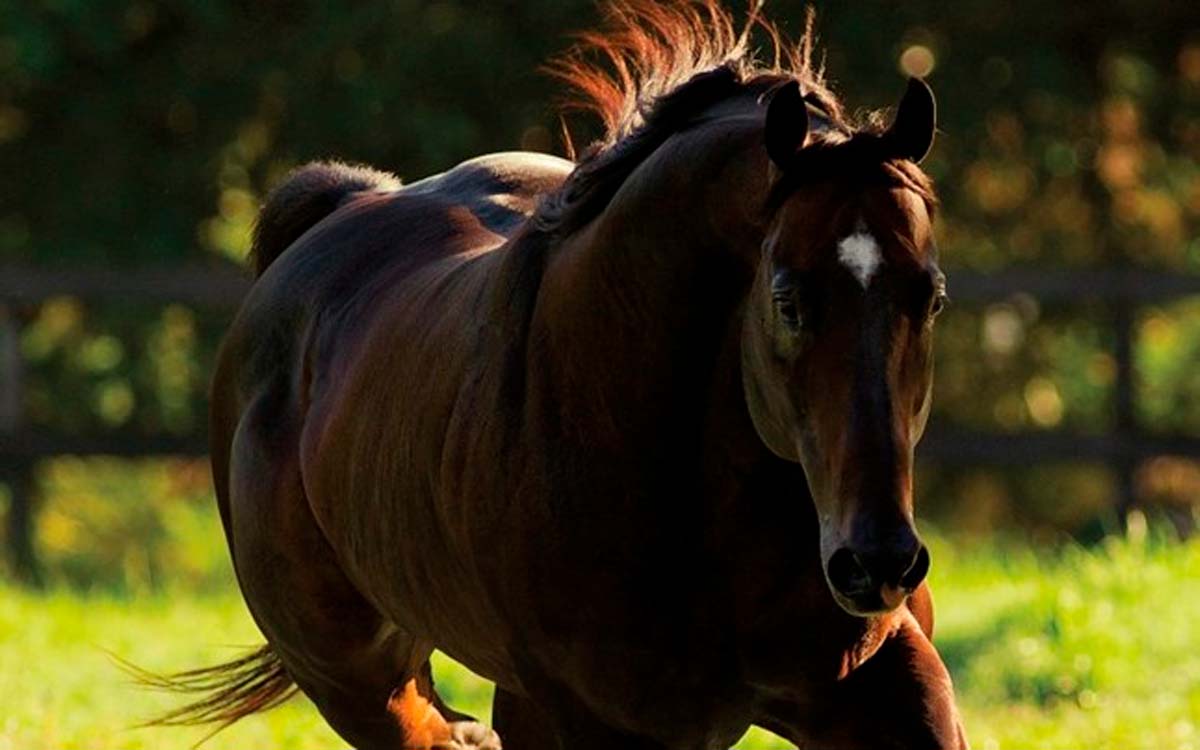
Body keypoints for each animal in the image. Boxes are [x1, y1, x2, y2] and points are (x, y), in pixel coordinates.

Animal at [177, 2, 969, 744]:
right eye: (788, 300)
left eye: (930, 295)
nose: (877, 563)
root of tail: (343, 206)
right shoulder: (585, 719)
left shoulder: (879, 684)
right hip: (363, 685)